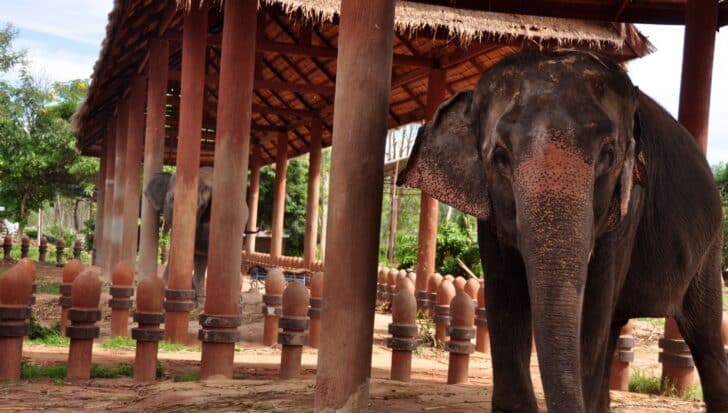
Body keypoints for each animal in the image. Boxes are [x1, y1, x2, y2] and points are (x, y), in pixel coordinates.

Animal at [399, 50, 728, 412]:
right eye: (500, 156)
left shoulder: (628, 208)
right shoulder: (489, 210)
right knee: (616, 327)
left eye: (608, 154)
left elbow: (593, 307)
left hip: (711, 250)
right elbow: (505, 295)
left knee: (706, 339)